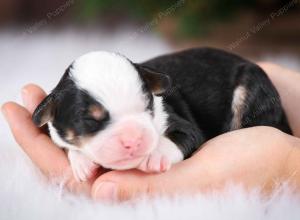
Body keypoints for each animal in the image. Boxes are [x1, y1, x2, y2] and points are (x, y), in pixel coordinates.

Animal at [32, 47, 290, 181]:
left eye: (147, 105)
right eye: (89, 121)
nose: (133, 140)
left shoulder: (182, 123)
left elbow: (179, 137)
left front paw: (156, 155)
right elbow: (67, 144)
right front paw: (83, 164)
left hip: (251, 88)